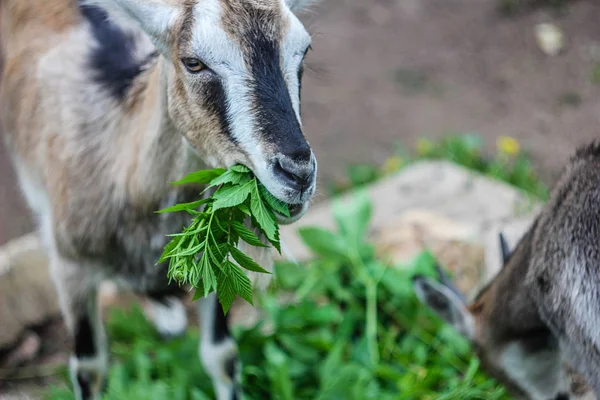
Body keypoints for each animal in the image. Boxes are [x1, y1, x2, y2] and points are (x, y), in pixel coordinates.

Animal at [1, 1, 318, 398]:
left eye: (304, 50)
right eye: (193, 62)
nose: (297, 174)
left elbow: (222, 356)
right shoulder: (71, 269)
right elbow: (89, 368)